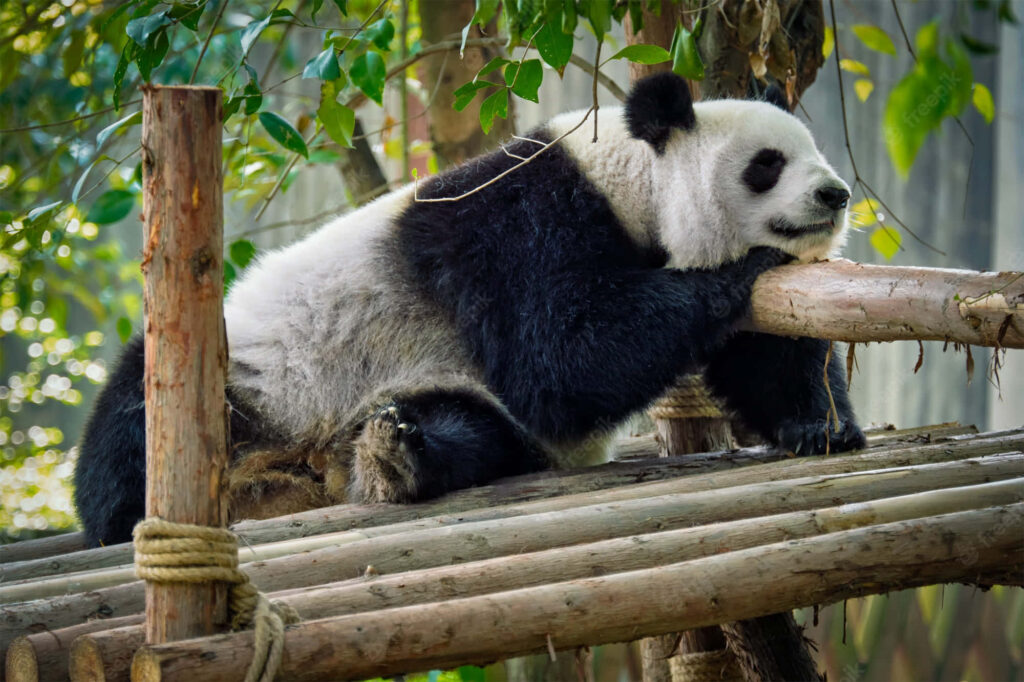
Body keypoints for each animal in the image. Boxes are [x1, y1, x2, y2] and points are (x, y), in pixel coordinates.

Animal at [74, 73, 865, 547]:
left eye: (817, 153)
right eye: (766, 164)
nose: (835, 195)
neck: (630, 177)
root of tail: (279, 475)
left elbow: (764, 357)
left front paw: (819, 427)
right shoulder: (519, 222)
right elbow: (559, 362)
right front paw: (743, 269)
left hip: (428, 392)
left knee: (472, 429)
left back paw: (396, 455)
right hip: (247, 372)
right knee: (131, 422)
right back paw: (129, 507)